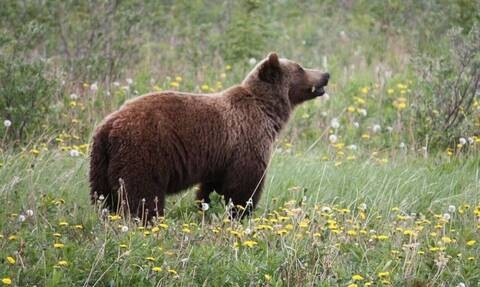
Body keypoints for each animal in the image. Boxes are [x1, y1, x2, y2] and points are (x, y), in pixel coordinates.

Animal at [89, 53, 330, 220]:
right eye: (300, 67)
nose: (326, 74)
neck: (267, 111)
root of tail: (109, 126)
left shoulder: (221, 156)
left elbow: (212, 187)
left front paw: (206, 208)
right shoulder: (247, 140)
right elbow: (243, 185)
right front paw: (240, 213)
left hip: (101, 161)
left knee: (103, 197)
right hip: (143, 151)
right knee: (142, 194)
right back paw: (147, 220)